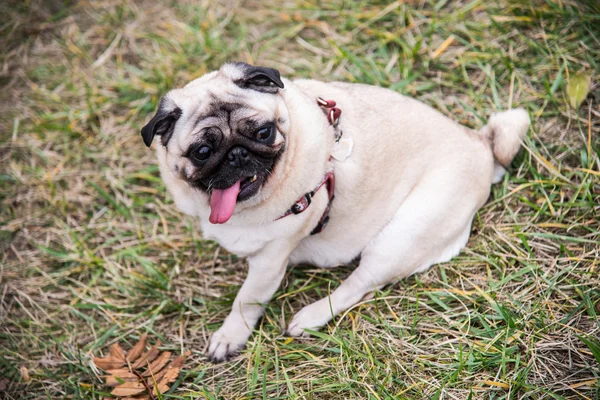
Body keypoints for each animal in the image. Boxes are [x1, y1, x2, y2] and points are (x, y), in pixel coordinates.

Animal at [141, 60, 528, 362]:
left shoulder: (270, 260)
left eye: (263, 132)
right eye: (203, 152)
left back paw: (310, 317)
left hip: (403, 235)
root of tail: (482, 146)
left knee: (358, 285)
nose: (237, 154)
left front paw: (230, 336)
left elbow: (246, 299)